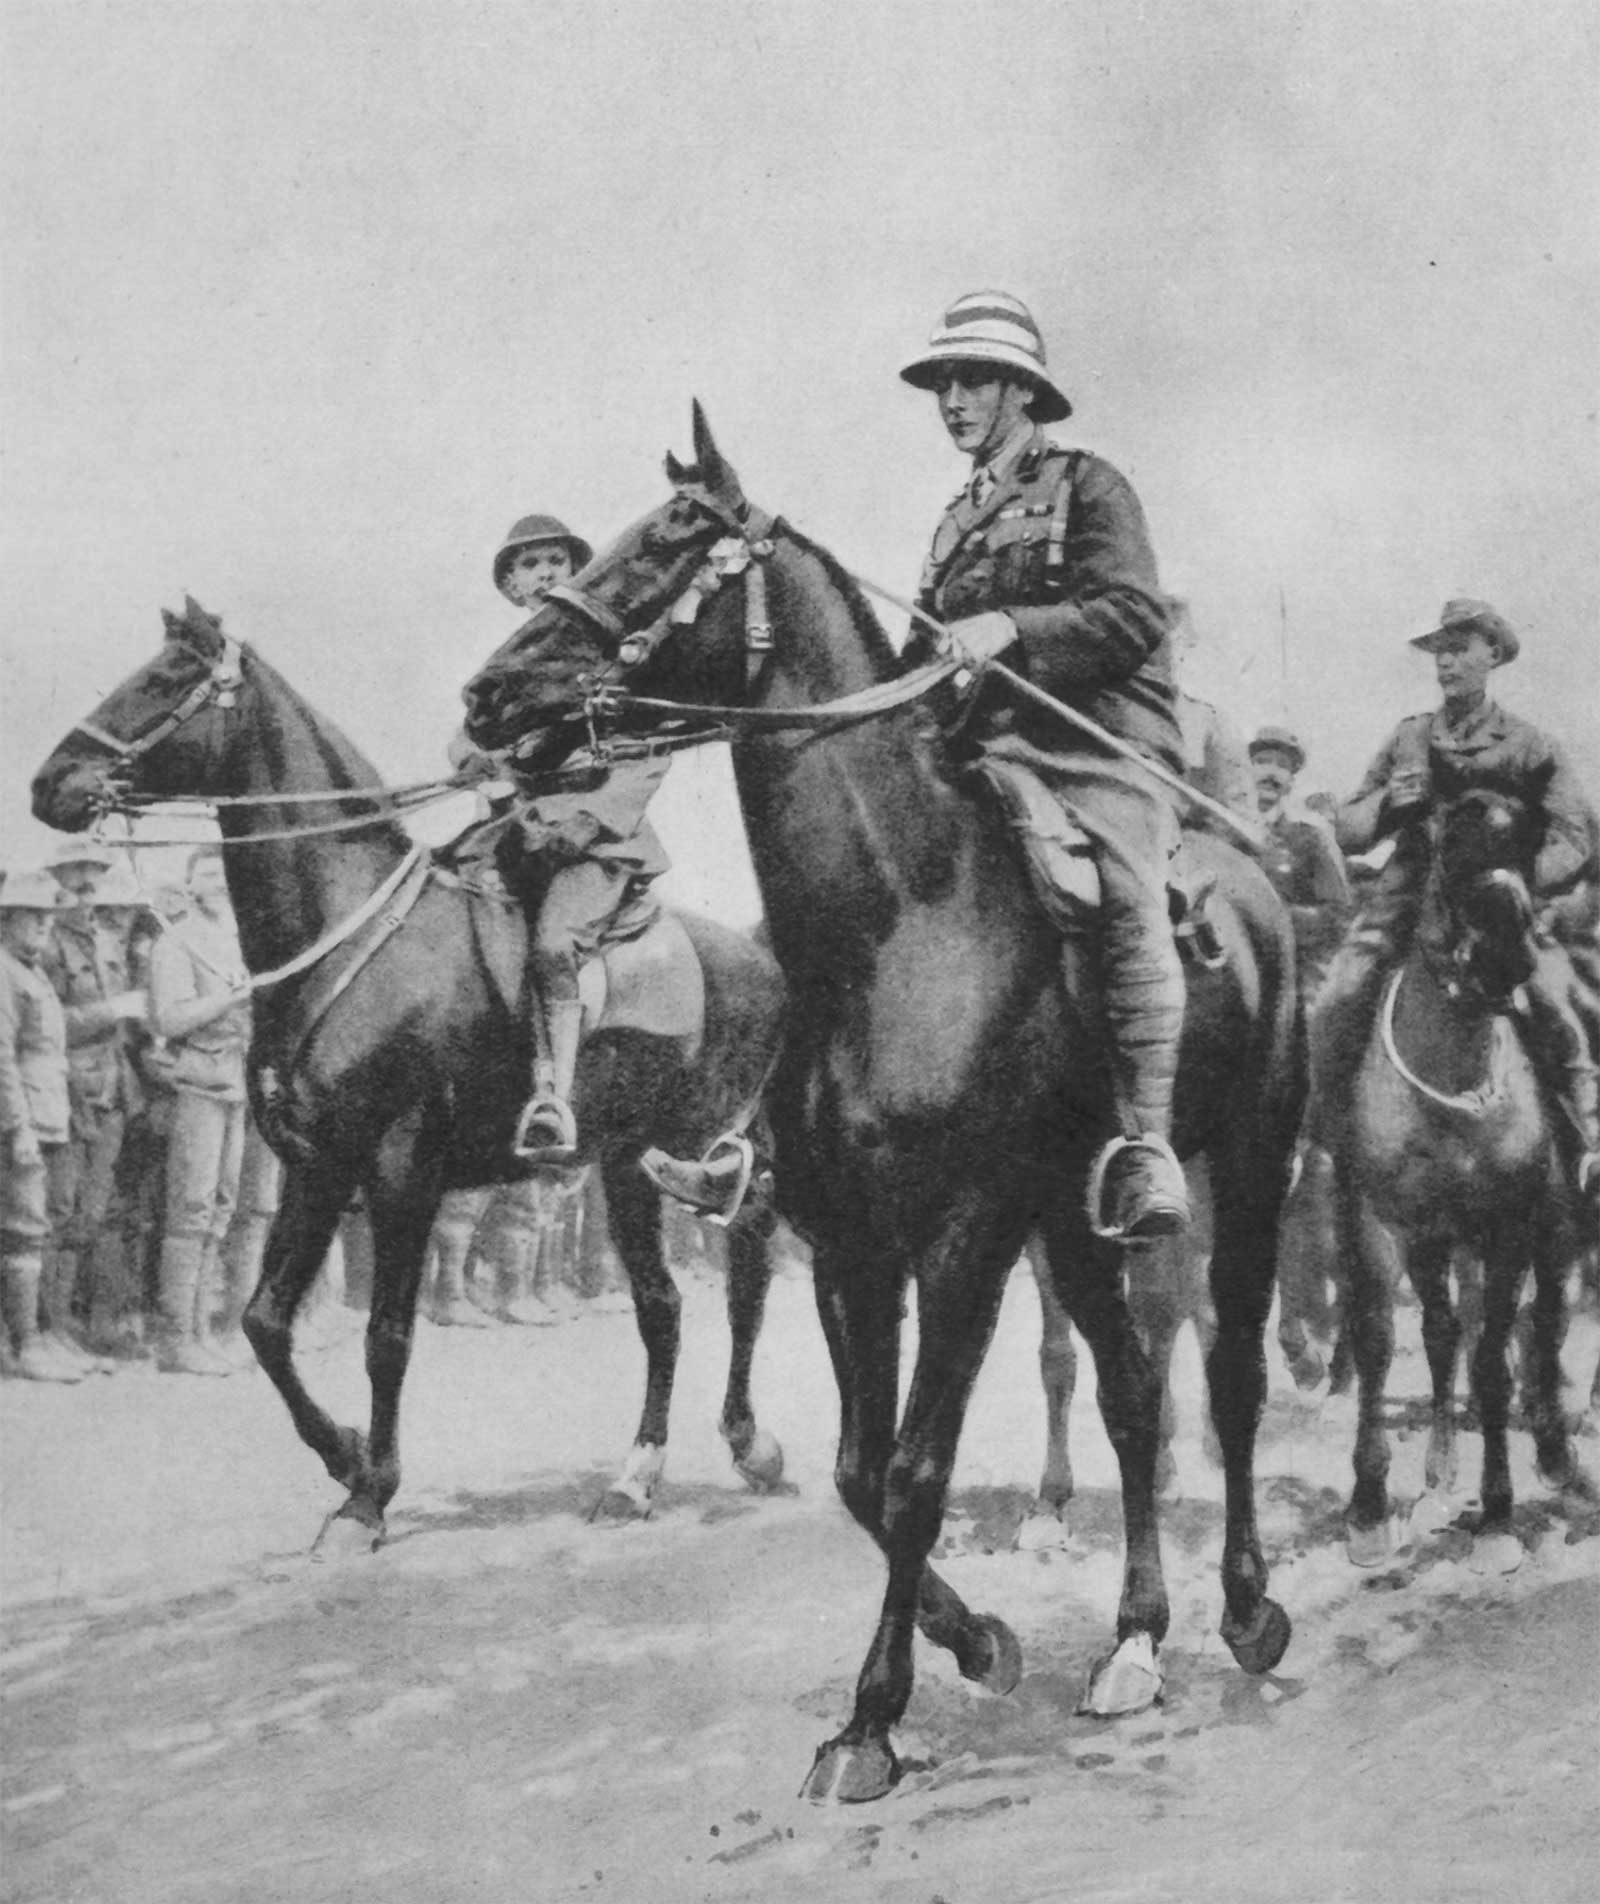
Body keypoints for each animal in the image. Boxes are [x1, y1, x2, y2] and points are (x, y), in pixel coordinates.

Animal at [31, 599, 789, 1545]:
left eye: (165, 680)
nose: (51, 785)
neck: (344, 934)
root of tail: (761, 958)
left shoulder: (399, 1172)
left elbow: (387, 1335)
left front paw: (369, 1496)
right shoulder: (318, 1168)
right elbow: (264, 1321)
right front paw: (347, 1456)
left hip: (701, 1148)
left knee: (745, 1272)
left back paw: (734, 1448)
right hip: (627, 1165)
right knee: (665, 1304)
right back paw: (652, 1472)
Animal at [462, 405, 1303, 1801]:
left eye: (671, 540)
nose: (488, 695)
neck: (899, 923)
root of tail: (1253, 886)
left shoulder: (962, 1237)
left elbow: (913, 1471)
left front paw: (869, 1719)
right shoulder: (850, 1240)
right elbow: (861, 1472)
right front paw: (979, 1644)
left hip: (1245, 1167)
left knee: (1227, 1371)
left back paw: (1244, 1608)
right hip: (1072, 1222)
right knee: (1132, 1394)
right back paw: (1132, 1641)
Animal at [1327, 788, 1593, 1572]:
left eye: (1527, 851)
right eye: (1447, 849)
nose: (1508, 958)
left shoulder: (1507, 1230)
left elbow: (1495, 1362)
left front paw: (1498, 1516)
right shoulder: (1381, 1222)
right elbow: (1381, 1342)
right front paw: (1369, 1509)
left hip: (1552, 1229)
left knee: (1542, 1328)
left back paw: (1555, 1455)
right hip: (1433, 1239)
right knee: (1445, 1335)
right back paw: (1440, 1479)